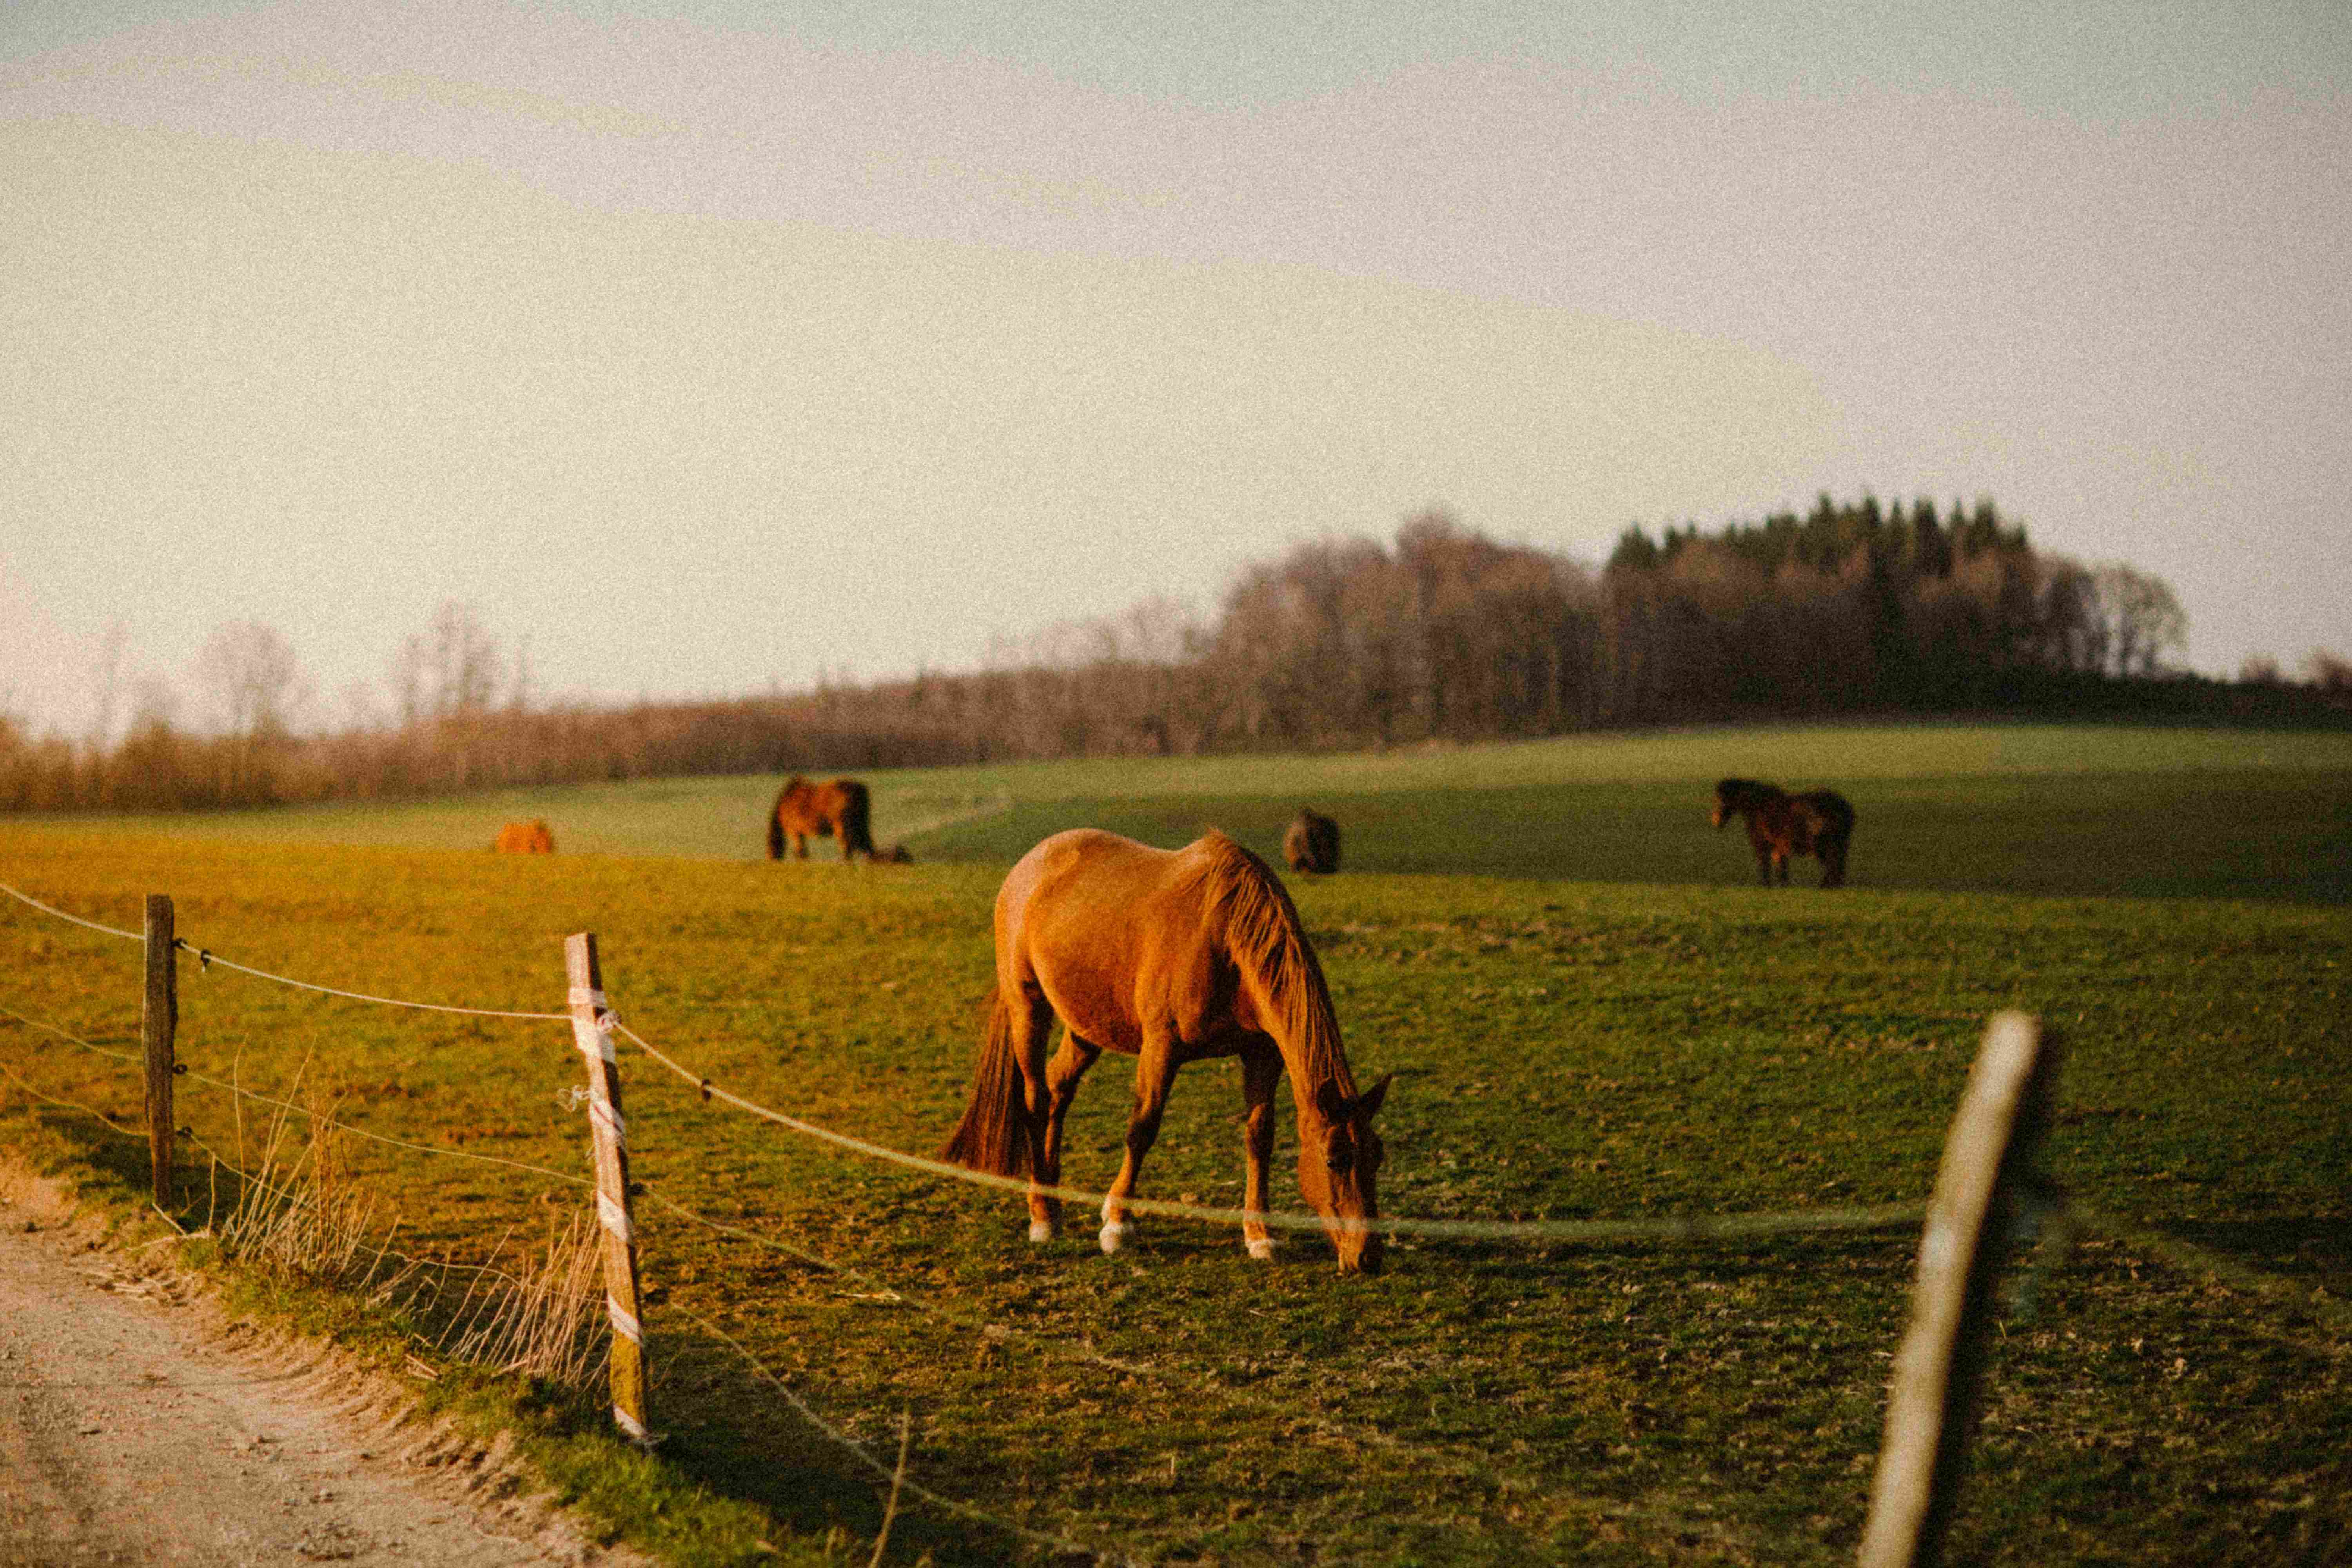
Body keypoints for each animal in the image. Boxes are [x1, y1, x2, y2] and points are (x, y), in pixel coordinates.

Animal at [766, 776, 876, 862]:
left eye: (769, 849)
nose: (771, 860)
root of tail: (858, 789)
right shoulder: (800, 832)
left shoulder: (794, 831)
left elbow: (800, 851)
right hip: (861, 823)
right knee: (866, 843)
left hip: (842, 825)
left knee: (848, 844)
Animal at [939, 829, 1393, 1274]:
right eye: (1335, 1160)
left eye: (1378, 1156)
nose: (1368, 1256)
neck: (1223, 937)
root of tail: (1029, 865)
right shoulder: (1161, 1047)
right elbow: (1142, 1129)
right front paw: (1118, 1225)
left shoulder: (1262, 1053)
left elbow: (1259, 1136)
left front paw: (1260, 1236)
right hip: (1028, 1008)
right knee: (1036, 1098)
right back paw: (1042, 1215)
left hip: (1086, 1028)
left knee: (1058, 1089)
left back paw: (1052, 1193)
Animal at [1710, 778, 1855, 887]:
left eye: (1720, 801)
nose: (1715, 822)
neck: (1758, 807)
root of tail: (1845, 807)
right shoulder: (1778, 846)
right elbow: (1781, 866)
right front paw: (1783, 885)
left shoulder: (1762, 844)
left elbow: (1765, 865)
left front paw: (1766, 885)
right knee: (1836, 864)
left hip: (1825, 845)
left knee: (1834, 863)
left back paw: (1829, 885)